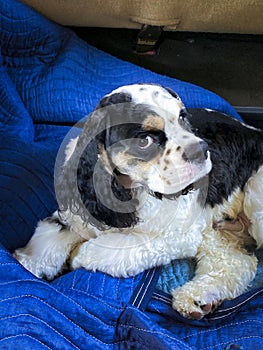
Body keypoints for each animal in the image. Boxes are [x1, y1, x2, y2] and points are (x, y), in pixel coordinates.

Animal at [14, 83, 263, 318]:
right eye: (145, 140)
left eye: (182, 118)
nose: (202, 149)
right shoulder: (76, 213)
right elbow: (47, 237)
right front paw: (25, 262)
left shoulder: (174, 236)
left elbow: (107, 247)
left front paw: (76, 256)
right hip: (216, 232)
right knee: (237, 262)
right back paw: (197, 299)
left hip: (254, 194)